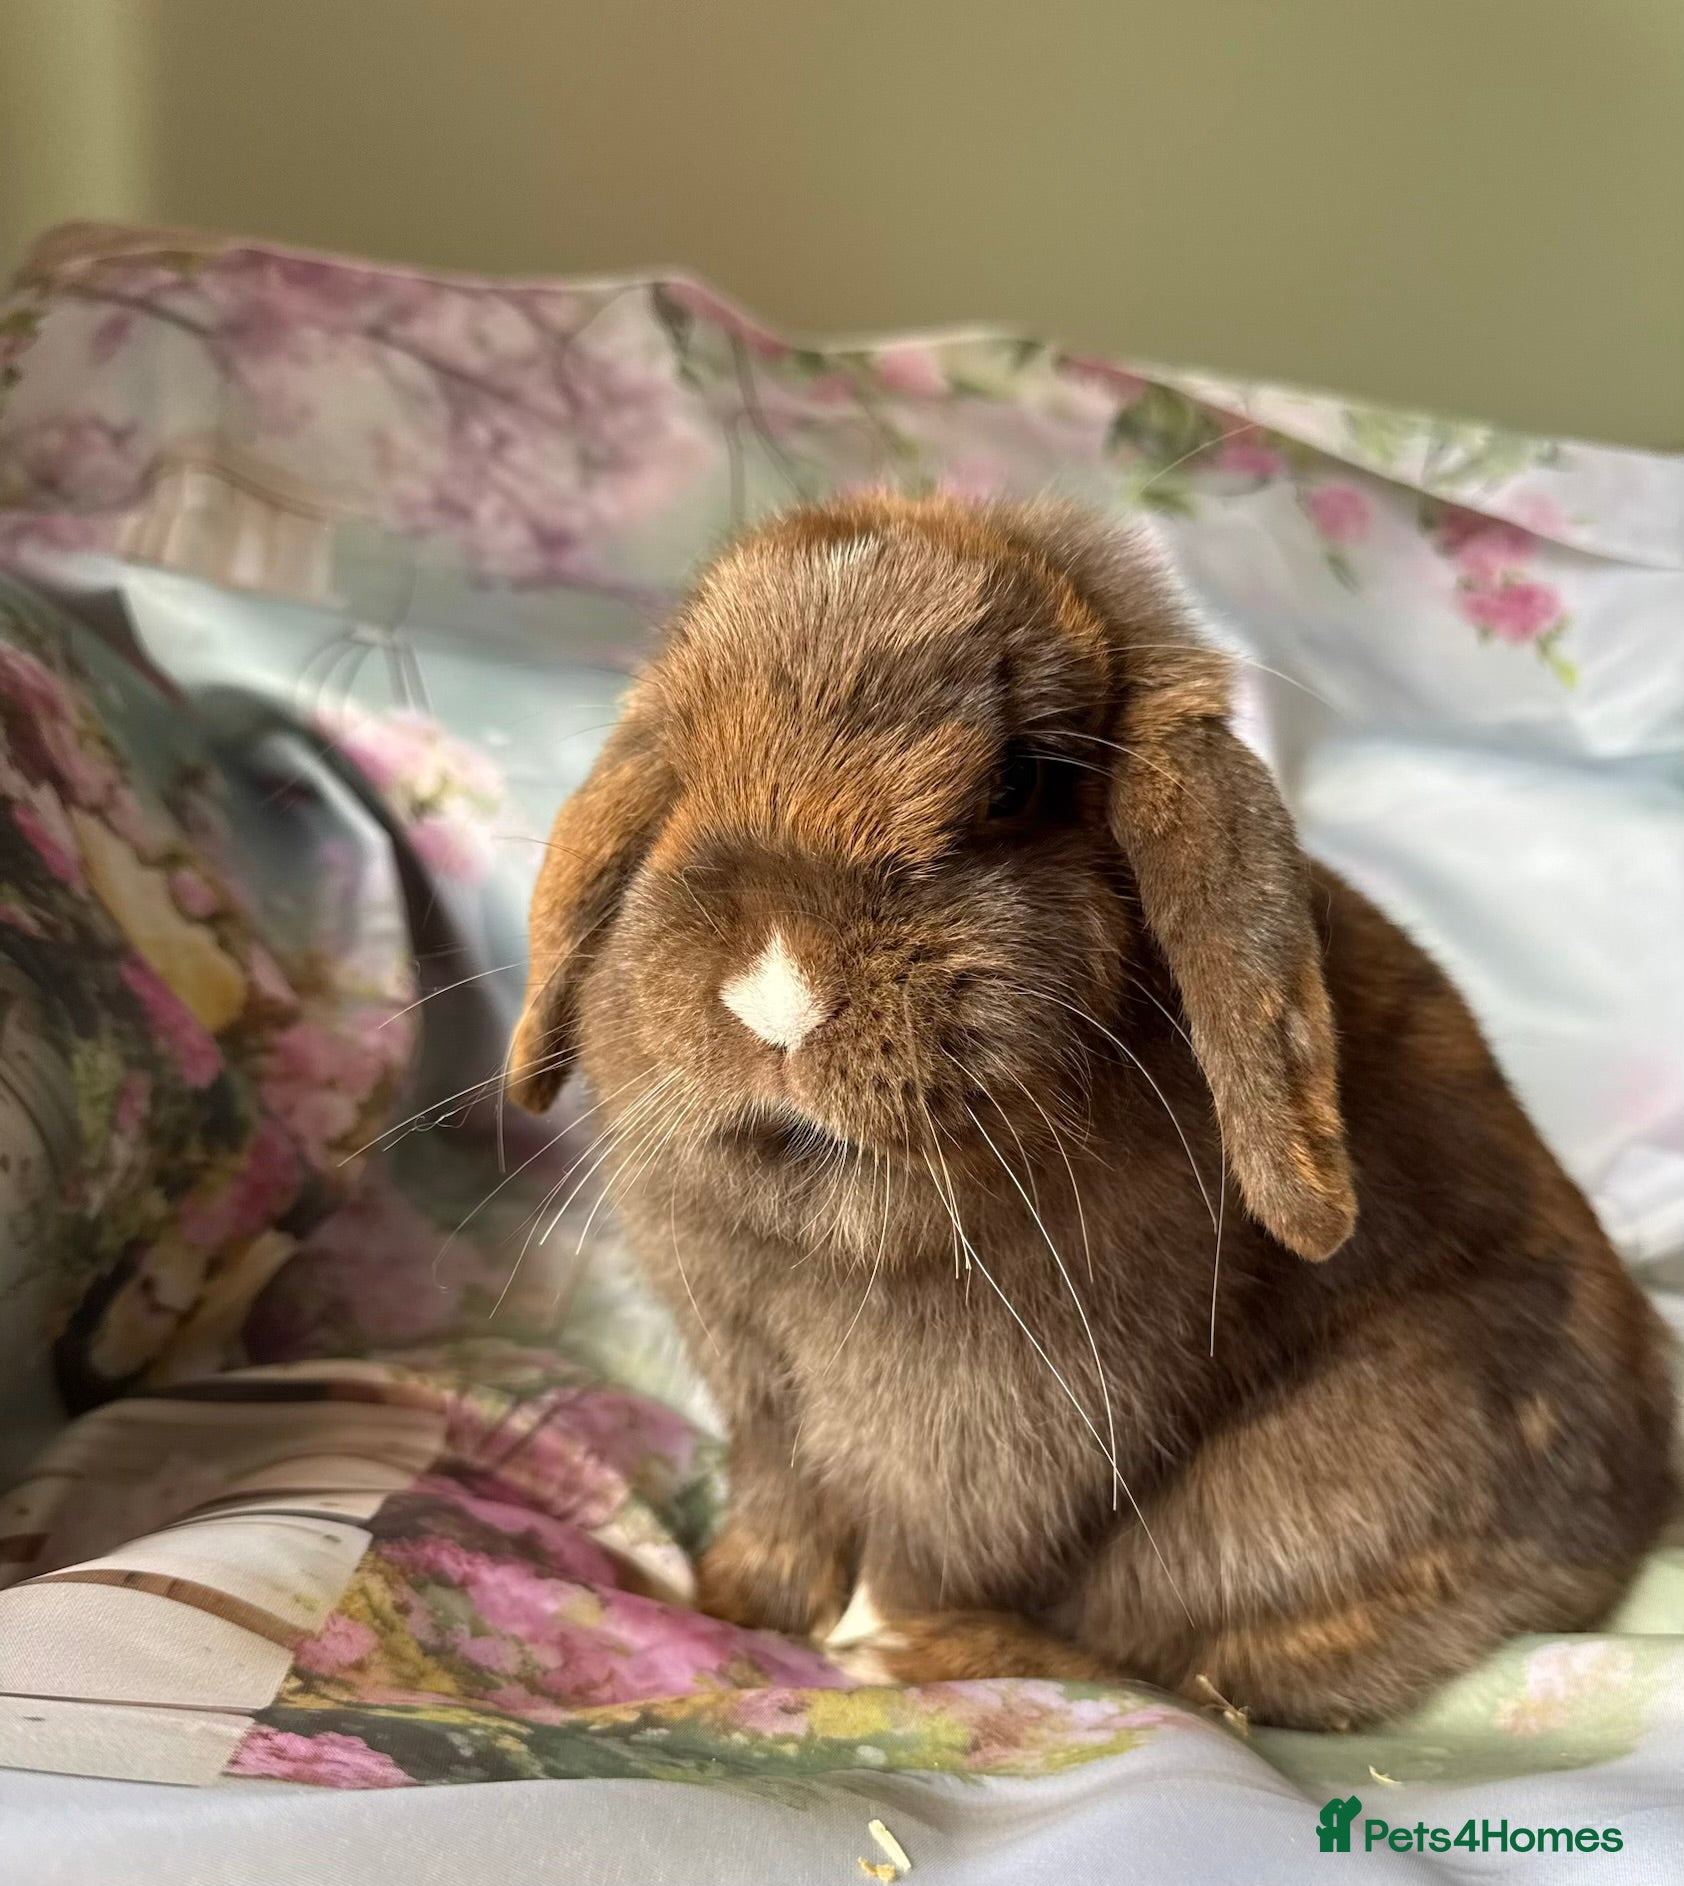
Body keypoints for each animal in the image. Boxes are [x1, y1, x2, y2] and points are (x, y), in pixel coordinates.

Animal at [507, 491, 1676, 1731]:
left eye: (1017, 781)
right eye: (681, 757)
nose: (776, 992)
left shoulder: (992, 1429)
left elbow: (922, 1553)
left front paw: (868, 1642)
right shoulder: (761, 1395)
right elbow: (779, 1510)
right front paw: (725, 1600)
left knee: (1186, 1667)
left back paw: (932, 1652)